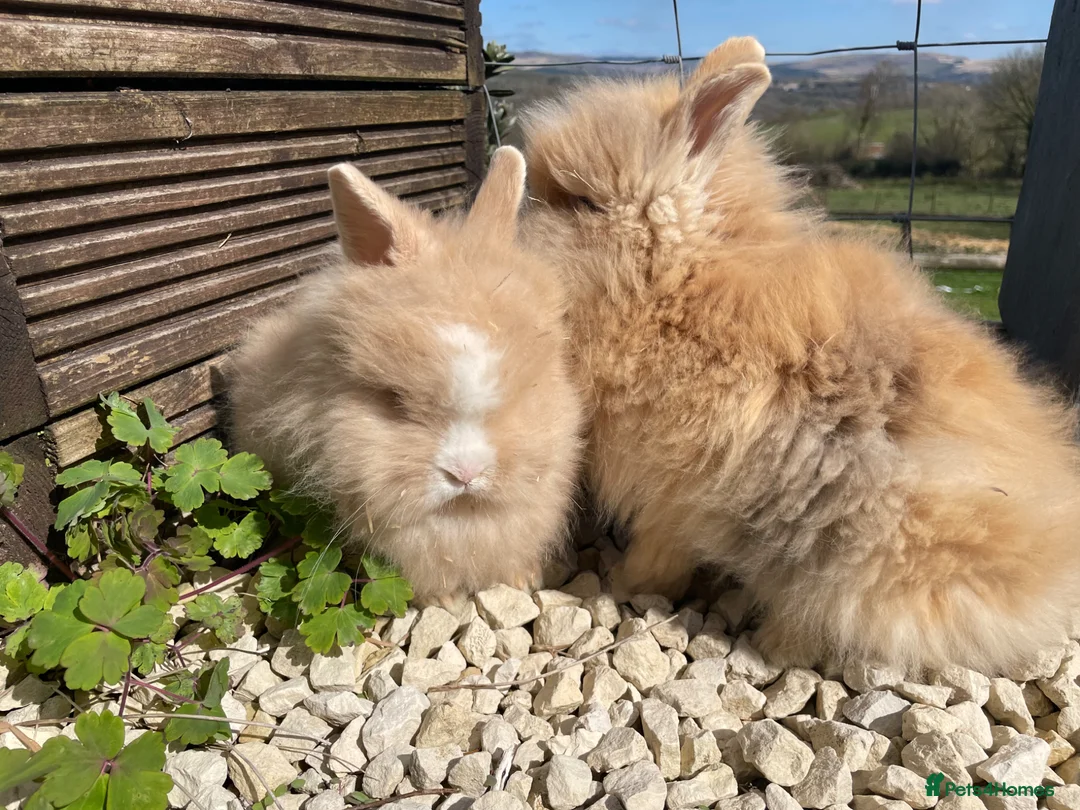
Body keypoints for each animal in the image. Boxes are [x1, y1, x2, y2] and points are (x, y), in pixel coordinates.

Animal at [227, 146, 584, 609]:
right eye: (394, 400)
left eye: (525, 391)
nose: (465, 474)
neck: (461, 521)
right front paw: (445, 602)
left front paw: (524, 580)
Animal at [518, 35, 1080, 674]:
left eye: (583, 203)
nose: (521, 236)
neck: (673, 286)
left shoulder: (675, 492)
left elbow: (660, 554)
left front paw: (625, 582)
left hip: (865, 560)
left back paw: (775, 644)